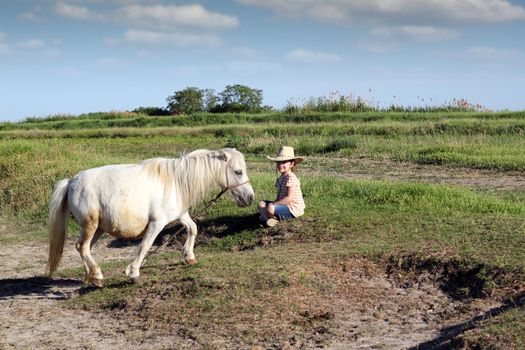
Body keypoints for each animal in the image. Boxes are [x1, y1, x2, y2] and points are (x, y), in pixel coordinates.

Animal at [47, 148, 254, 288]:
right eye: (238, 172)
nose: (250, 198)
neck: (176, 182)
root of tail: (71, 182)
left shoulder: (180, 215)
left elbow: (193, 228)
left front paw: (189, 256)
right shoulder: (157, 223)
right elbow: (145, 246)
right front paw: (133, 272)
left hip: (98, 228)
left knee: (84, 248)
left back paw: (90, 277)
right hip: (90, 224)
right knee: (82, 246)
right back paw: (97, 276)